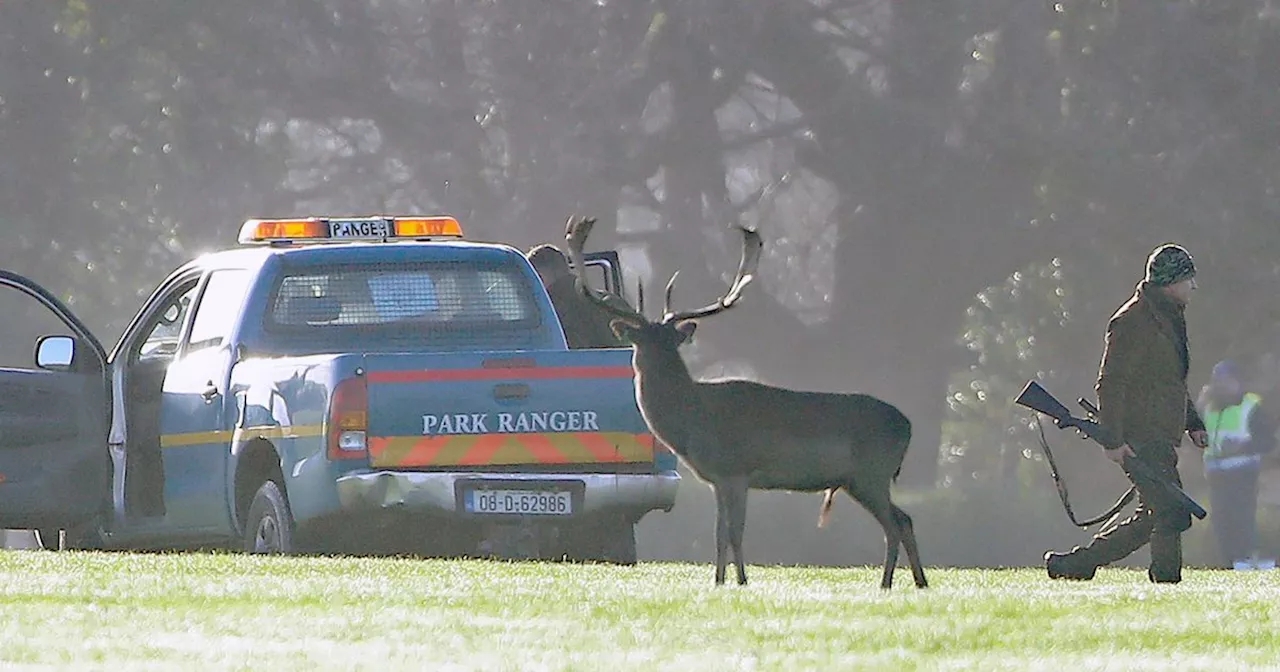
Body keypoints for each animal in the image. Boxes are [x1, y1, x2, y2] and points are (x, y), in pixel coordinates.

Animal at [565, 216, 926, 586]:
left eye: (665, 341)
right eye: (643, 340)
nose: (646, 361)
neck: (693, 419)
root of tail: (907, 426)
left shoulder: (735, 470)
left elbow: (735, 532)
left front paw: (741, 581)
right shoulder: (717, 479)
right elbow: (720, 533)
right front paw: (719, 581)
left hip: (871, 473)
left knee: (896, 523)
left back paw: (887, 583)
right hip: (862, 480)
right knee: (904, 520)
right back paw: (919, 582)